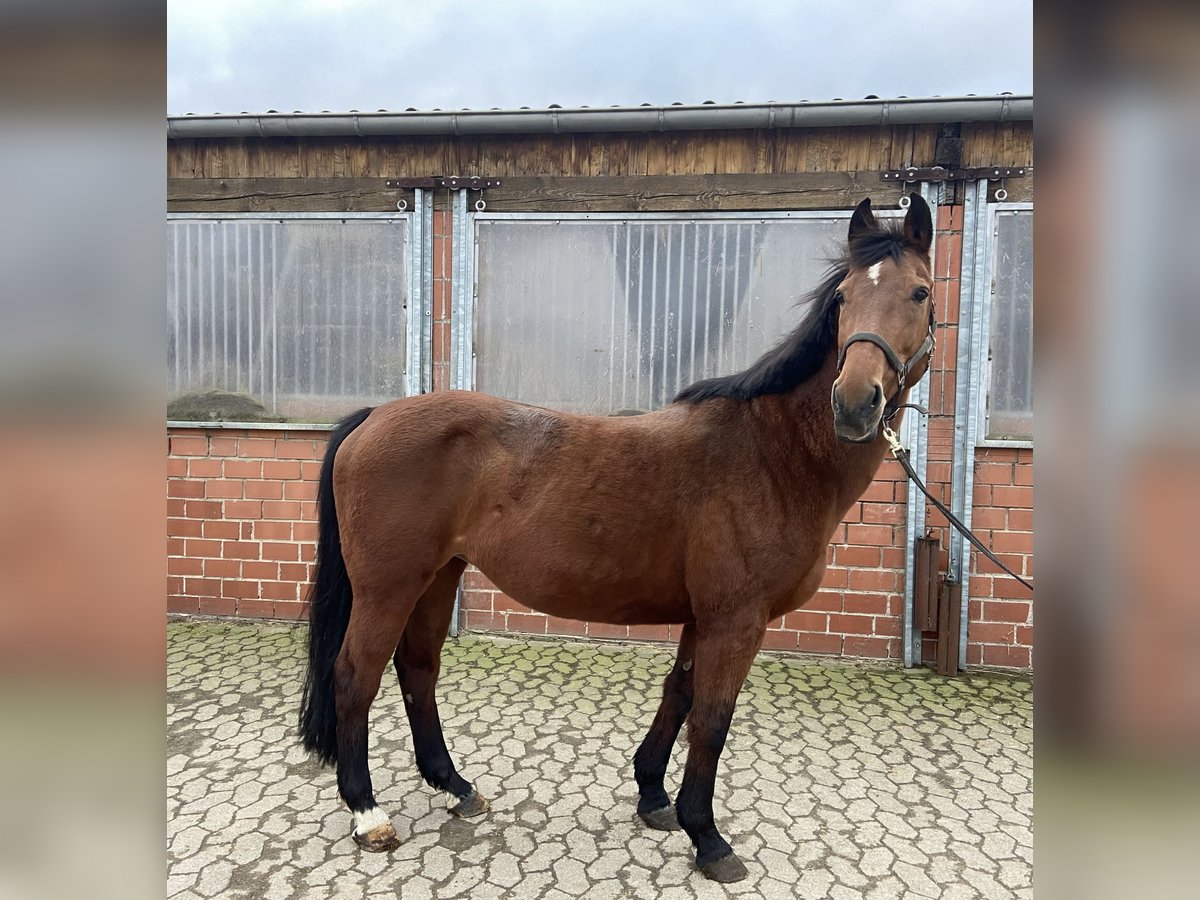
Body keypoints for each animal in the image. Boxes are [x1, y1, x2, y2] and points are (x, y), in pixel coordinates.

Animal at [297, 195, 936, 883]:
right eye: (843, 297)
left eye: (921, 291)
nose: (855, 403)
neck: (773, 453)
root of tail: (373, 417)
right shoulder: (737, 619)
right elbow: (712, 720)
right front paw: (707, 836)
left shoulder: (704, 617)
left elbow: (679, 694)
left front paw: (653, 794)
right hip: (388, 587)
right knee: (355, 676)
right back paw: (368, 813)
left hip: (438, 578)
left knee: (417, 669)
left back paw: (455, 785)